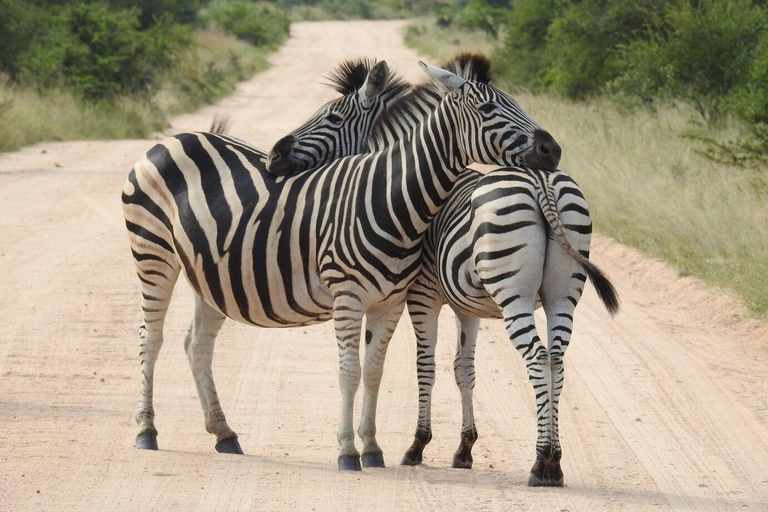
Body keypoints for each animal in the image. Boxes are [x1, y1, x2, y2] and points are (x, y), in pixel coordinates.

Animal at [123, 57, 560, 472]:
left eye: (511, 105)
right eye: (488, 109)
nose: (552, 150)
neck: (389, 198)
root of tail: (175, 139)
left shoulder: (390, 303)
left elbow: (373, 372)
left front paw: (372, 449)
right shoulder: (348, 297)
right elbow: (349, 372)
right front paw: (348, 452)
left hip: (209, 274)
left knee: (197, 345)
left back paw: (224, 433)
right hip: (154, 253)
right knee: (150, 338)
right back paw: (146, 430)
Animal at [268, 54, 620, 486]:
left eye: (331, 117)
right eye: (491, 107)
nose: (274, 156)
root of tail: (542, 183)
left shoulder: (422, 295)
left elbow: (427, 365)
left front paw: (417, 445)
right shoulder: (469, 308)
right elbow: (463, 369)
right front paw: (464, 448)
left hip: (514, 295)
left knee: (538, 358)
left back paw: (540, 463)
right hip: (563, 295)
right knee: (556, 359)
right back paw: (555, 461)